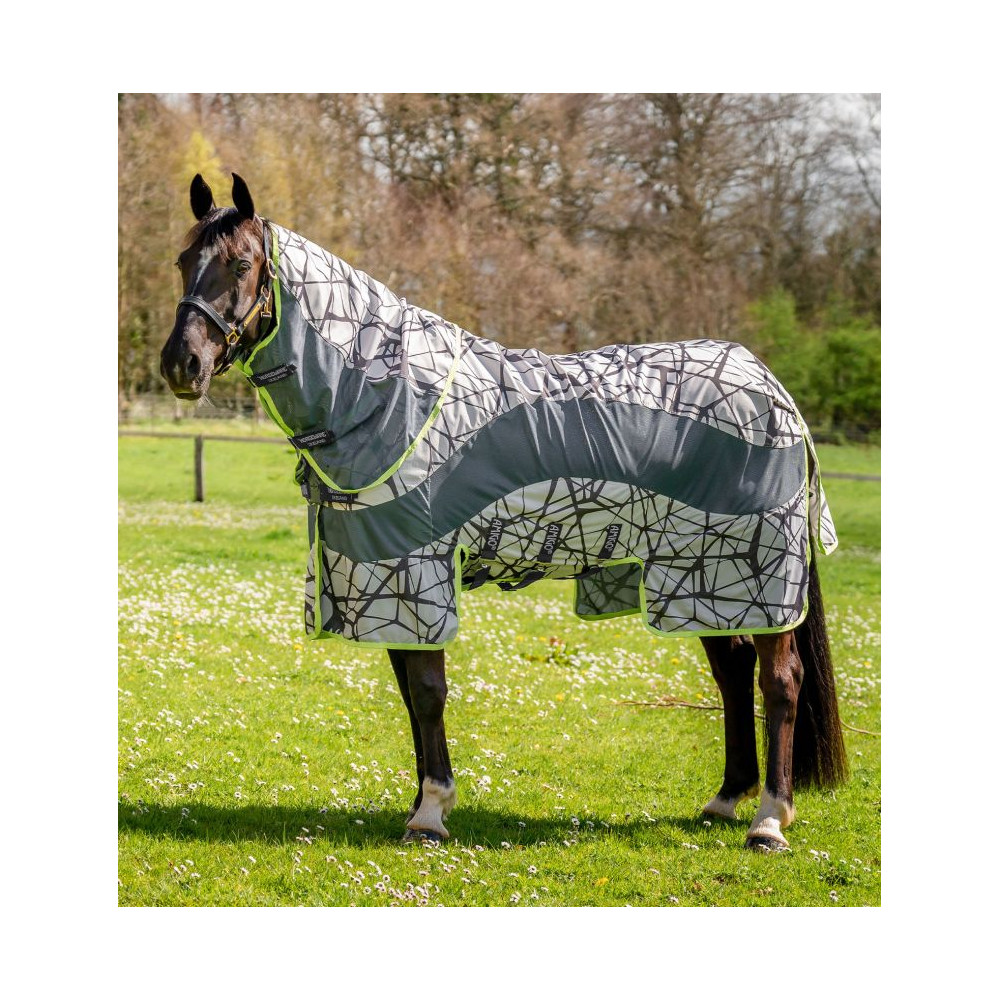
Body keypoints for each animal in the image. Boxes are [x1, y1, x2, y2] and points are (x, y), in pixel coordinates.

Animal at [160, 173, 847, 853]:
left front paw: (430, 813)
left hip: (752, 575)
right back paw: (725, 800)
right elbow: (410, 693)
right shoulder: (380, 581)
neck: (387, 398)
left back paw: (768, 821)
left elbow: (428, 692)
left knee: (780, 681)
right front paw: (420, 806)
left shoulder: (418, 572)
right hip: (699, 574)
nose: (180, 365)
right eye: (182, 261)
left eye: (240, 263)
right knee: (732, 670)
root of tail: (771, 387)